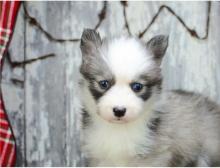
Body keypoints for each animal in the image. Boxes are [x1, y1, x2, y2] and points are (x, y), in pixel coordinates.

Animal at [78, 28, 220, 167]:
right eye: (104, 84)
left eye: (137, 87)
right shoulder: (99, 157)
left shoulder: (152, 158)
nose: (119, 111)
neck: (119, 129)